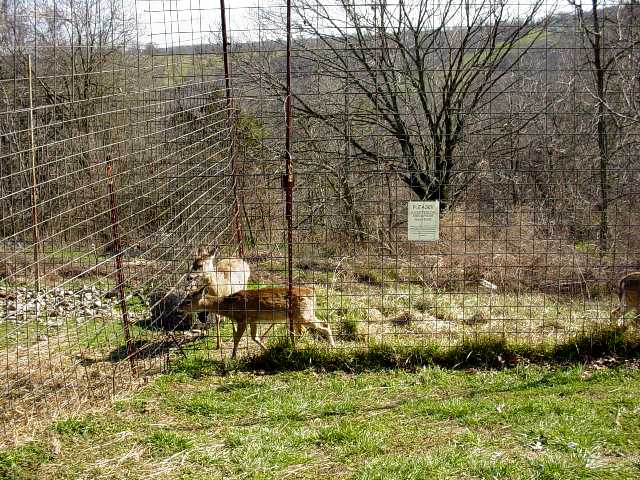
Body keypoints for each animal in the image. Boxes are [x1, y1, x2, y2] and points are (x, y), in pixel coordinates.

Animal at [176, 284, 332, 356]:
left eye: (188, 301)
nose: (178, 308)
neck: (229, 306)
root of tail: (312, 291)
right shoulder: (253, 319)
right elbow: (254, 337)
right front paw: (267, 351)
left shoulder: (243, 318)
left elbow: (237, 338)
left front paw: (233, 356)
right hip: (299, 315)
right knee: (303, 331)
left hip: (304, 313)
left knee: (325, 325)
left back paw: (332, 346)